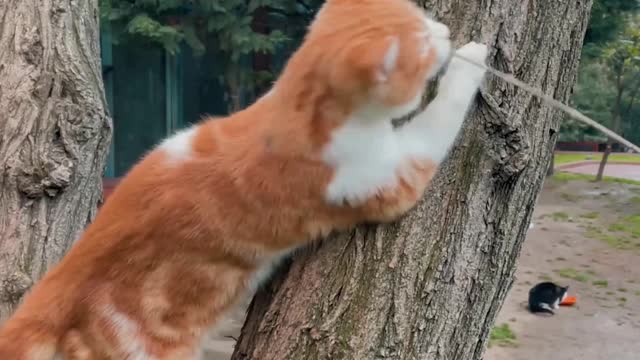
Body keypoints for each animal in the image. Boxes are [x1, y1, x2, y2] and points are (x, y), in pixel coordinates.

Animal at [0, 0, 488, 358]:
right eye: (423, 43)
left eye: (422, 15)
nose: (445, 33)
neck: (299, 104)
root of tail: (60, 280)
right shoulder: (392, 174)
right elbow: (438, 121)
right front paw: (475, 58)